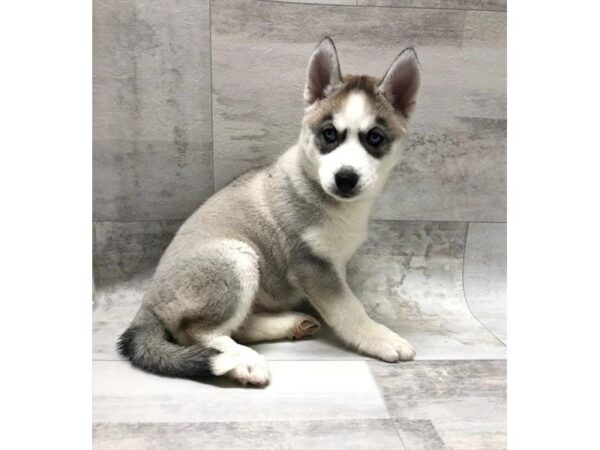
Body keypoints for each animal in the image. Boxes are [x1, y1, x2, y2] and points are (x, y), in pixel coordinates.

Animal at [118, 37, 422, 384]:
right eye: (329, 134)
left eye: (374, 137)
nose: (345, 178)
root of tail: (146, 304)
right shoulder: (313, 265)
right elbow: (349, 309)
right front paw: (380, 337)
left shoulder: (333, 264)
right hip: (238, 257)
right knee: (195, 331)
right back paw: (242, 361)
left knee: (238, 326)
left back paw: (287, 323)